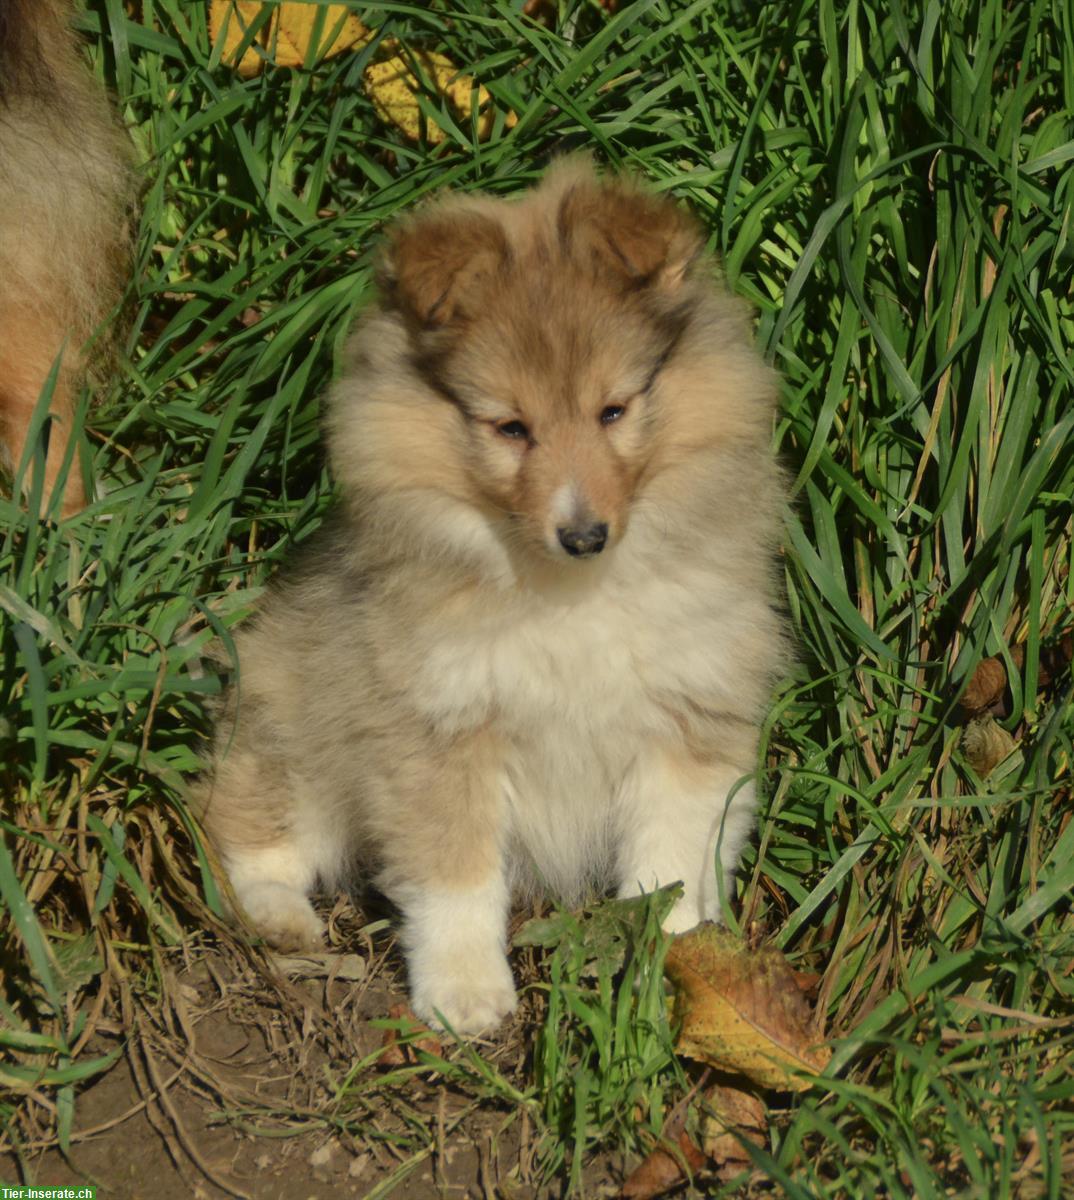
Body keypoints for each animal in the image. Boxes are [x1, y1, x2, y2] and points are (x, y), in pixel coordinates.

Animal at [204, 162, 787, 1032]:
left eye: (614, 410)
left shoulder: (688, 715)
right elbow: (457, 877)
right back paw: (282, 918)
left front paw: (672, 968)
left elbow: (669, 867)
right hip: (293, 726)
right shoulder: (437, 728)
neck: (566, 594)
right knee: (246, 829)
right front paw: (466, 995)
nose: (584, 534)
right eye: (510, 427)